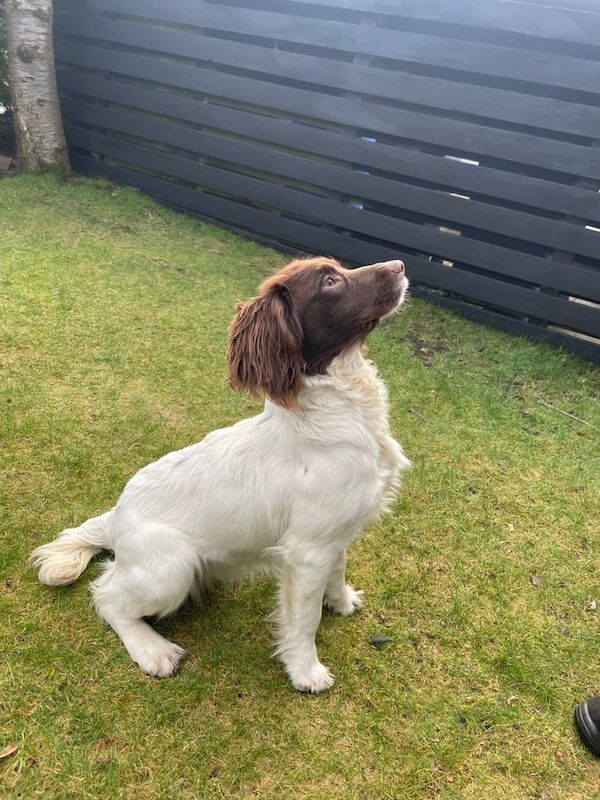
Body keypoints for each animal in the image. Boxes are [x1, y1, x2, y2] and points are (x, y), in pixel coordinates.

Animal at [30, 258, 410, 692]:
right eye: (330, 281)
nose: (400, 265)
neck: (338, 412)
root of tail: (115, 517)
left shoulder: (335, 533)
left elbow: (339, 567)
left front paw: (342, 602)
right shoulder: (307, 551)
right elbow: (303, 619)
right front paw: (305, 671)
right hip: (173, 567)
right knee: (107, 595)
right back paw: (152, 649)